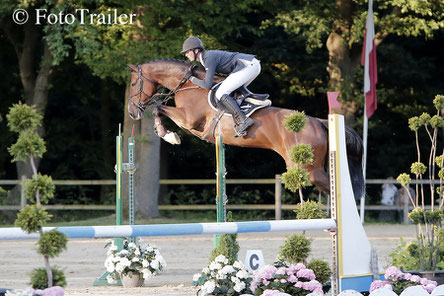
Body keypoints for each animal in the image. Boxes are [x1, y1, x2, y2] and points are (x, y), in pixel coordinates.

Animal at [125, 59, 364, 200]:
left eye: (134, 84)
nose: (131, 113)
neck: (188, 85)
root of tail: (319, 121)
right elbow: (159, 108)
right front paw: (167, 134)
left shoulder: (189, 120)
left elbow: (158, 108)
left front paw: (169, 135)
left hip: (309, 170)